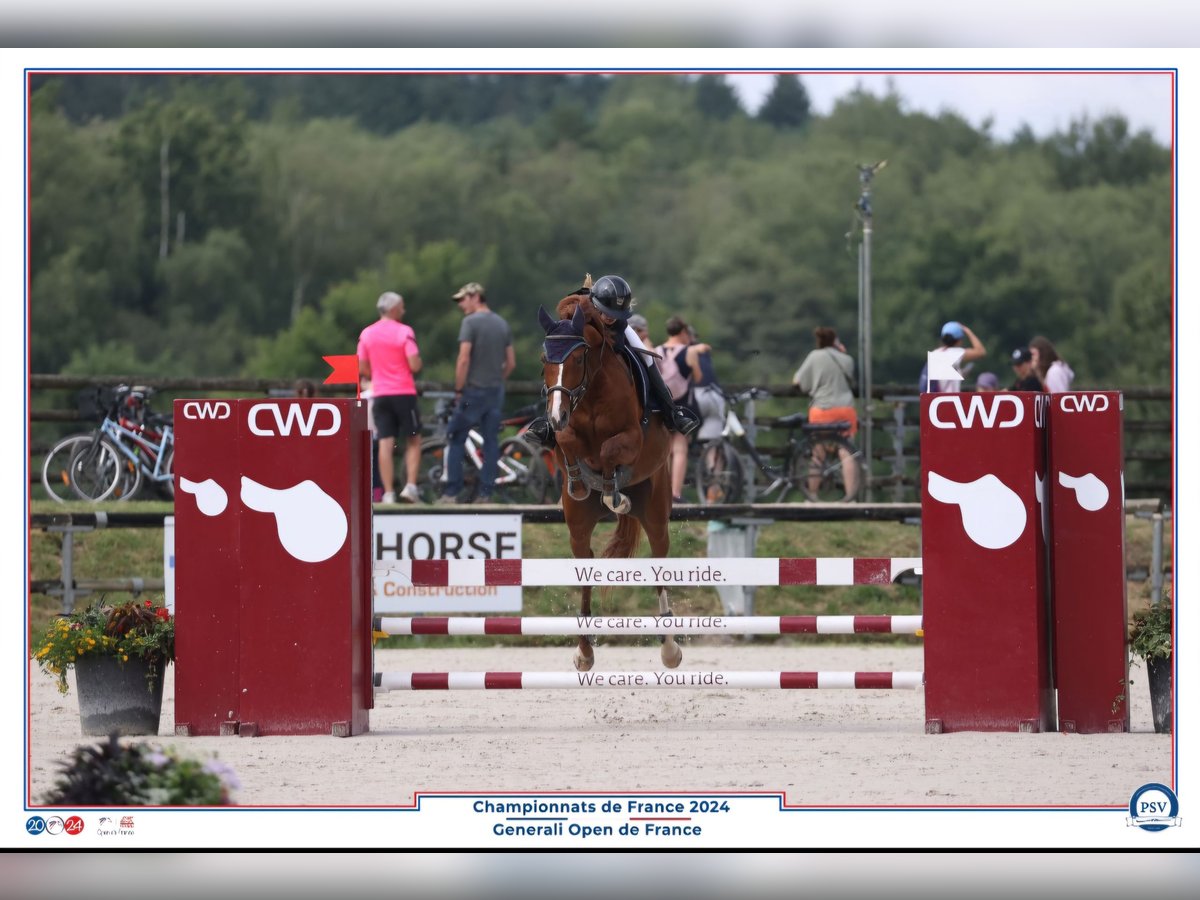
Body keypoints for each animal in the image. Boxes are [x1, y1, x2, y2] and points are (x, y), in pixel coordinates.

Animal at [540, 285, 681, 672]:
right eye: (545, 361)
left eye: (577, 359)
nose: (555, 415)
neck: (590, 394)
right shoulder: (565, 434)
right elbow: (569, 443)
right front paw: (578, 480)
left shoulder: (632, 437)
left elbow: (609, 450)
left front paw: (612, 492)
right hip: (577, 526)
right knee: (585, 564)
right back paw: (584, 652)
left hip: (656, 512)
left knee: (660, 561)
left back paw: (670, 649)